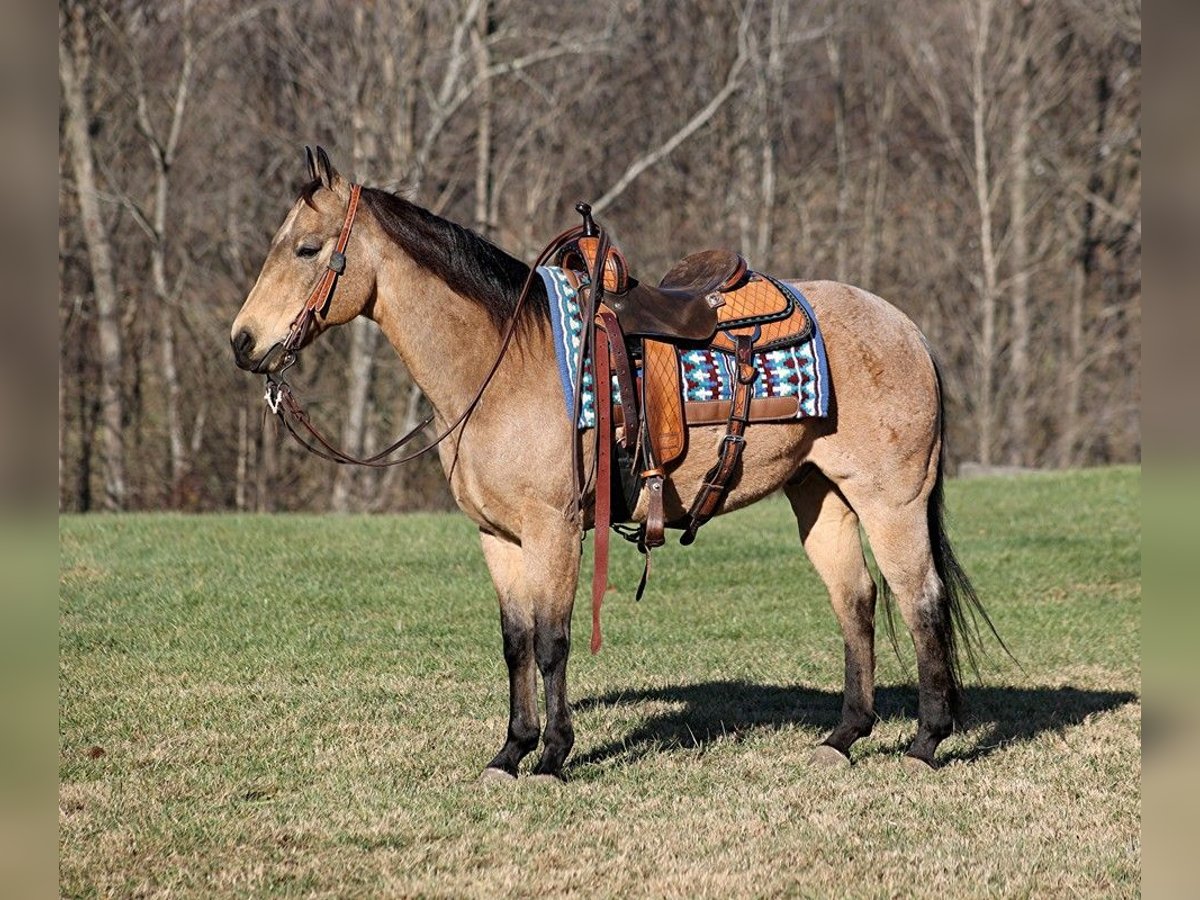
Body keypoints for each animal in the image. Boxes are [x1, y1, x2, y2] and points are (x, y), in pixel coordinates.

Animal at [229, 150, 998, 782]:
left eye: (306, 248)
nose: (243, 342)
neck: (504, 364)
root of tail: (906, 327)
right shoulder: (498, 538)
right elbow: (514, 643)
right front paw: (509, 752)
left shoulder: (554, 530)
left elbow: (552, 642)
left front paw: (552, 757)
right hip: (821, 496)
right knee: (857, 601)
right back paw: (842, 740)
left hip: (892, 502)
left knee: (921, 599)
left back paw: (926, 743)